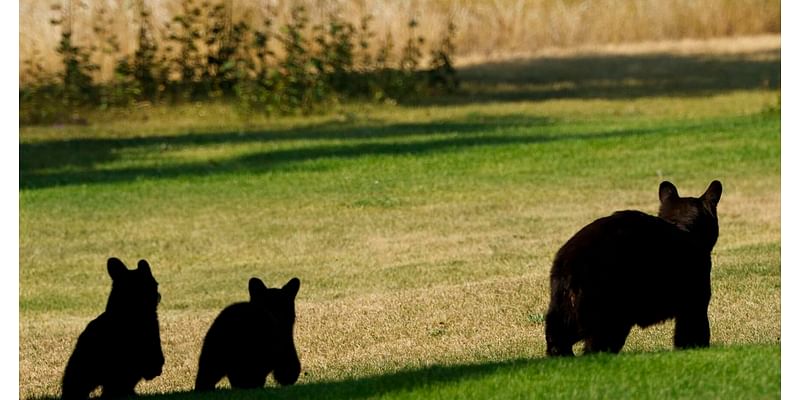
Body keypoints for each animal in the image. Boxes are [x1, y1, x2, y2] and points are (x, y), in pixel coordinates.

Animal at [544, 181, 724, 356]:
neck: (684, 228)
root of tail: (571, 264)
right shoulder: (695, 291)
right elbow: (692, 326)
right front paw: (695, 349)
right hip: (609, 302)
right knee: (600, 340)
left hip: (563, 304)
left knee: (559, 334)